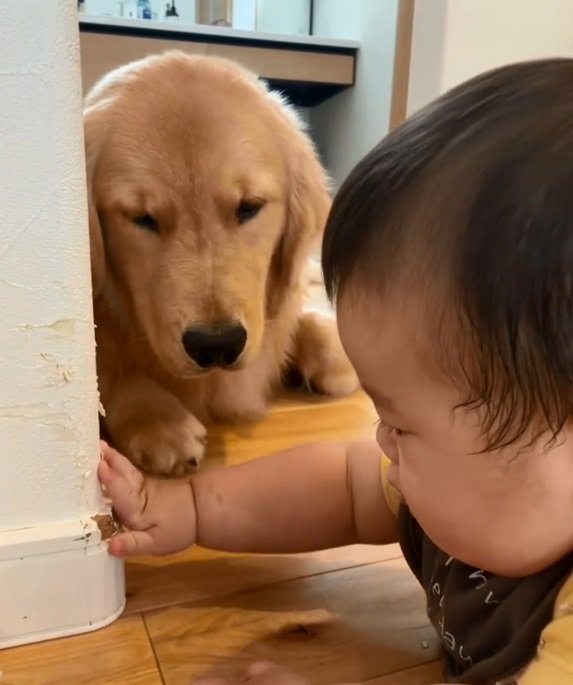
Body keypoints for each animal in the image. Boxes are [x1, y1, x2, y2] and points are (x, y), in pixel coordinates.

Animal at [84, 52, 358, 476]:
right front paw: (158, 418)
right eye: (142, 218)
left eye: (249, 207)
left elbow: (309, 326)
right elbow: (107, 370)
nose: (217, 345)